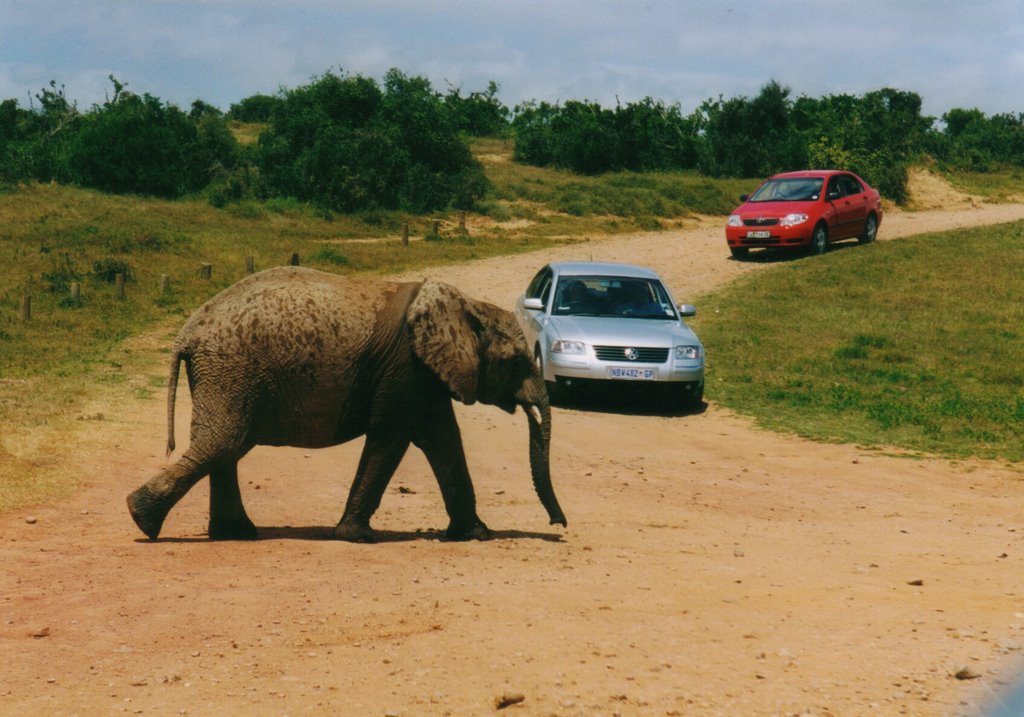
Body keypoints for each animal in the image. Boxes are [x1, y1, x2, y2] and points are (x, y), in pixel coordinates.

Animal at [128, 266, 569, 540]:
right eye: (517, 360)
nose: (559, 525)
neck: (465, 306)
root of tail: (188, 331)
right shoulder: (406, 367)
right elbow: (391, 438)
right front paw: (357, 537)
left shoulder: (424, 376)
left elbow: (442, 439)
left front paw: (475, 535)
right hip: (229, 367)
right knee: (223, 443)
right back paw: (142, 520)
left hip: (224, 372)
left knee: (223, 446)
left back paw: (232, 534)